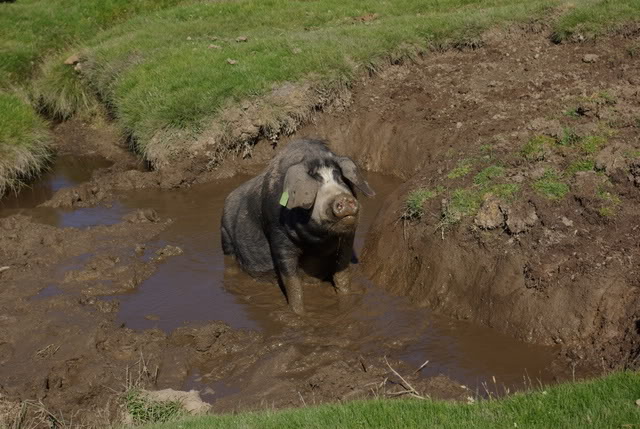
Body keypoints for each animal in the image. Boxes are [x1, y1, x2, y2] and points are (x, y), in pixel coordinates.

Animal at [221, 139, 376, 312]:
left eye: (341, 179)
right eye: (315, 183)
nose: (342, 197)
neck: (318, 242)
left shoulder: (348, 238)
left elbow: (342, 275)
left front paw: (346, 301)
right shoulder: (278, 235)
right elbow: (292, 283)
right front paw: (298, 313)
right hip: (225, 239)